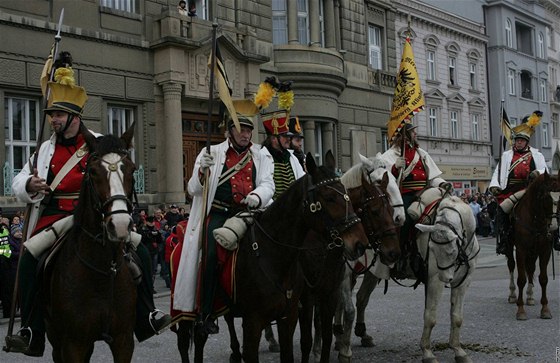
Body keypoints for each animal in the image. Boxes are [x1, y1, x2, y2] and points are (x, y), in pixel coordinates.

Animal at [43, 124, 138, 362]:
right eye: (93, 171)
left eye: (132, 170)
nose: (120, 225)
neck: (103, 271)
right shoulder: (73, 343)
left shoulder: (124, 340)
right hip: (56, 337)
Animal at [300, 159, 400, 363]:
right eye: (375, 211)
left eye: (391, 209)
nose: (393, 252)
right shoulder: (334, 280)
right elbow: (348, 310)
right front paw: (342, 350)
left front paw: (341, 343)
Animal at [506, 171, 556, 322]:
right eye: (546, 197)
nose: (553, 228)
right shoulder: (521, 250)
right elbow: (521, 279)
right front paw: (520, 310)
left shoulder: (545, 251)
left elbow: (543, 279)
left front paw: (545, 309)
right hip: (510, 248)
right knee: (511, 266)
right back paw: (512, 295)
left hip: (533, 252)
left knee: (531, 268)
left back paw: (530, 296)